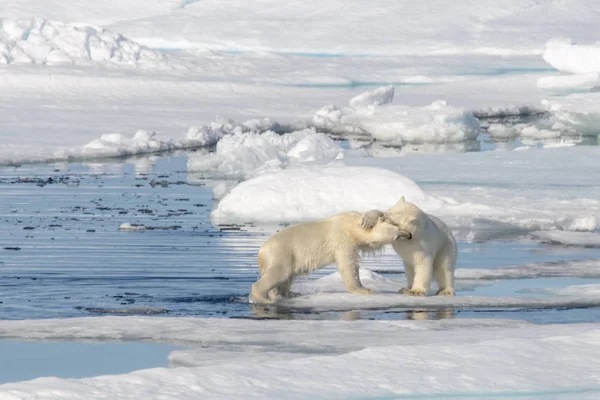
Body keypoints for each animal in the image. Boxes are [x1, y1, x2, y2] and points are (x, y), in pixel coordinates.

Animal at [248, 212, 408, 304]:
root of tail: (261, 253)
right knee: (279, 273)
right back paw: (264, 298)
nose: (405, 233)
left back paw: (289, 293)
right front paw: (365, 290)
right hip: (282, 253)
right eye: (396, 230)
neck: (351, 227)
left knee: (286, 279)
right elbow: (348, 266)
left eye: (397, 226)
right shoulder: (342, 240)